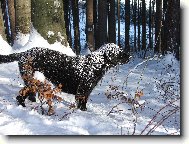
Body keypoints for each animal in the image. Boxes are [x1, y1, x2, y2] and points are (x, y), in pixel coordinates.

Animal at [0, 43, 130, 111]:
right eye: (121, 52)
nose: (130, 56)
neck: (95, 64)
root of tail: (24, 53)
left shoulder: (86, 91)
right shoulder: (82, 90)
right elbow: (82, 104)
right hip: (32, 81)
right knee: (20, 95)